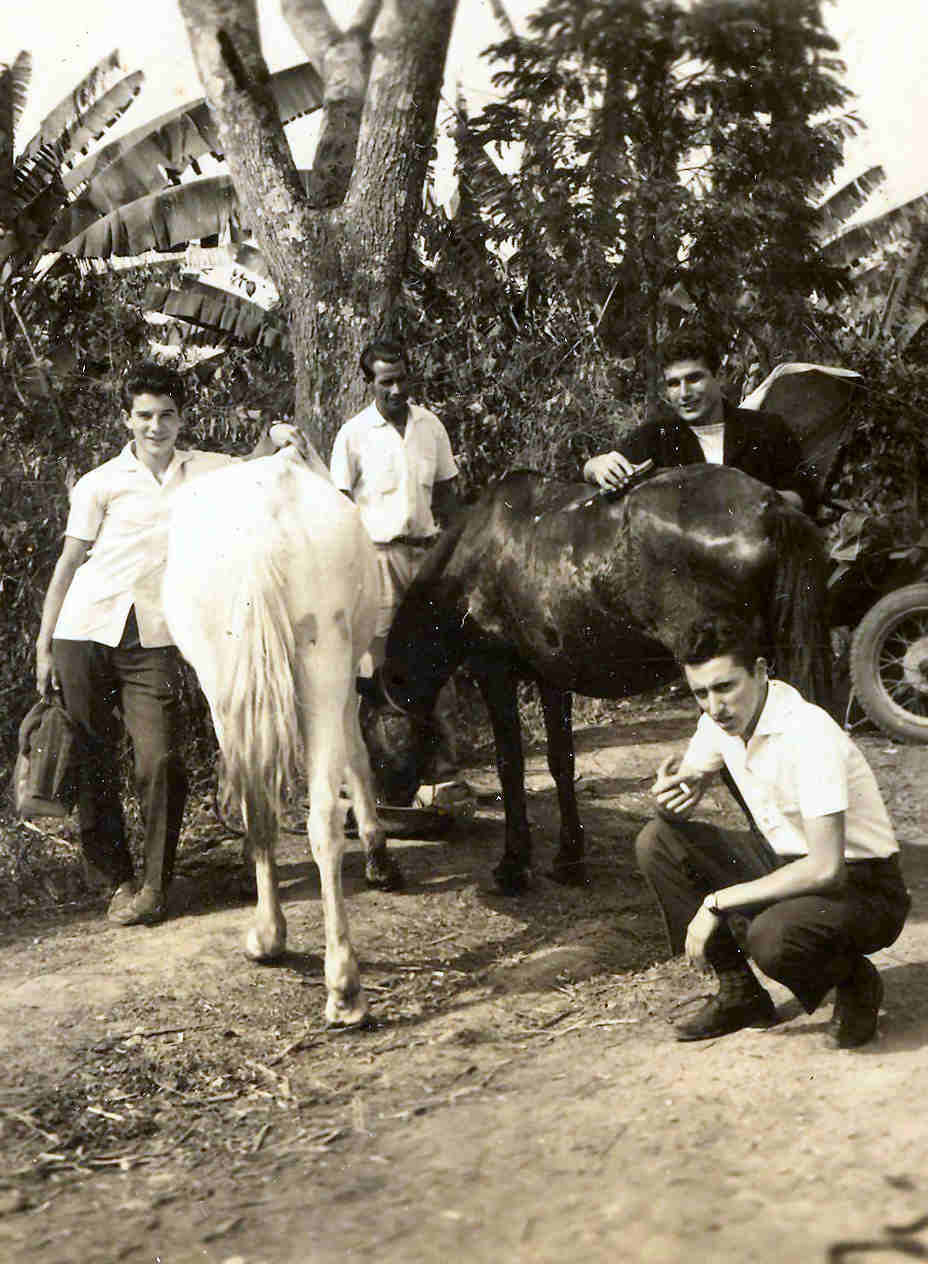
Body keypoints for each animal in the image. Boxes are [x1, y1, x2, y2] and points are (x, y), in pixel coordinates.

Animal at [162, 447, 400, 1026]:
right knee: (313, 817)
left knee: (279, 812)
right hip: (318, 668)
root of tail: (263, 531)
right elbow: (358, 758)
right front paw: (379, 852)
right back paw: (339, 982)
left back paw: (291, 951)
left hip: (241, 685)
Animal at [360, 465, 832, 896]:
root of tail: (769, 506)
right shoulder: (551, 678)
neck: (473, 558)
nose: (388, 798)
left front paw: (514, 864)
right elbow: (560, 763)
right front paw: (569, 858)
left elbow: (510, 766)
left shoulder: (494, 673)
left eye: (366, 729)